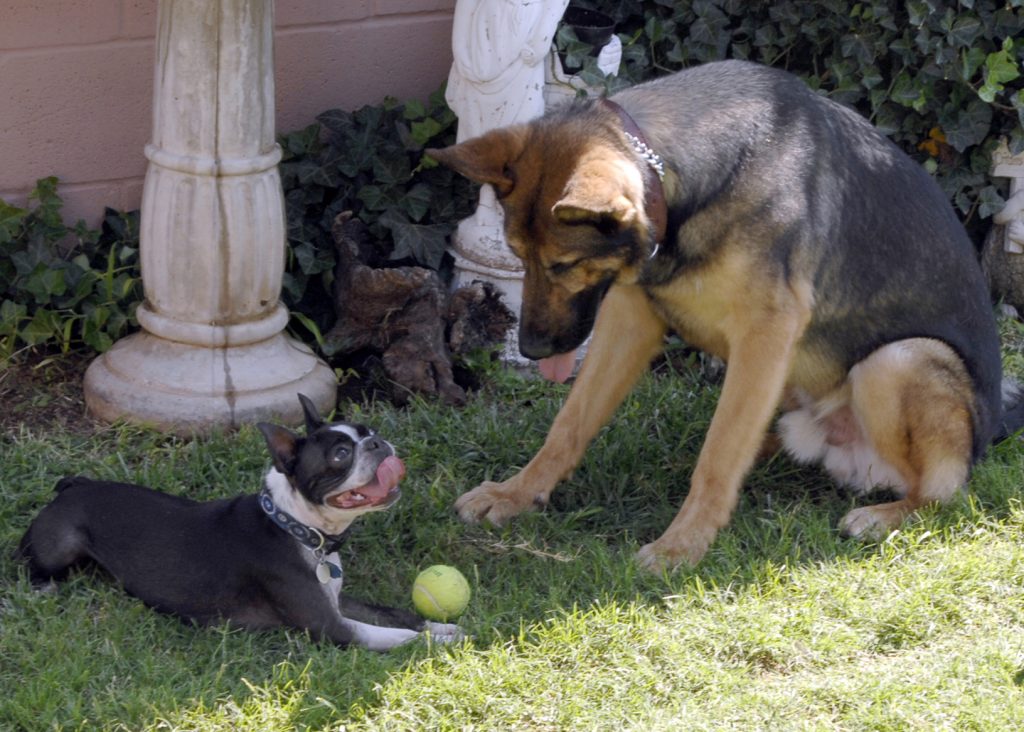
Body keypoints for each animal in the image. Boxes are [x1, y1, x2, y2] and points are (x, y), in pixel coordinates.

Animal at [16, 395, 462, 651]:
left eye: (369, 431)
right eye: (340, 455)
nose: (377, 443)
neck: (296, 525)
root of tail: (73, 485)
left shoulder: (337, 600)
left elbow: (393, 613)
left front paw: (440, 627)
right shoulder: (329, 625)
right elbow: (396, 636)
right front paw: (434, 644)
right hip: (62, 543)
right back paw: (42, 587)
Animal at [428, 60, 1019, 569]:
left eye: (563, 264)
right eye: (517, 256)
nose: (529, 350)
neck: (675, 173)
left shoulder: (765, 333)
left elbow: (717, 456)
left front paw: (681, 545)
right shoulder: (630, 321)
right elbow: (569, 424)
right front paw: (518, 493)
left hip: (900, 361)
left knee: (943, 493)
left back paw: (884, 515)